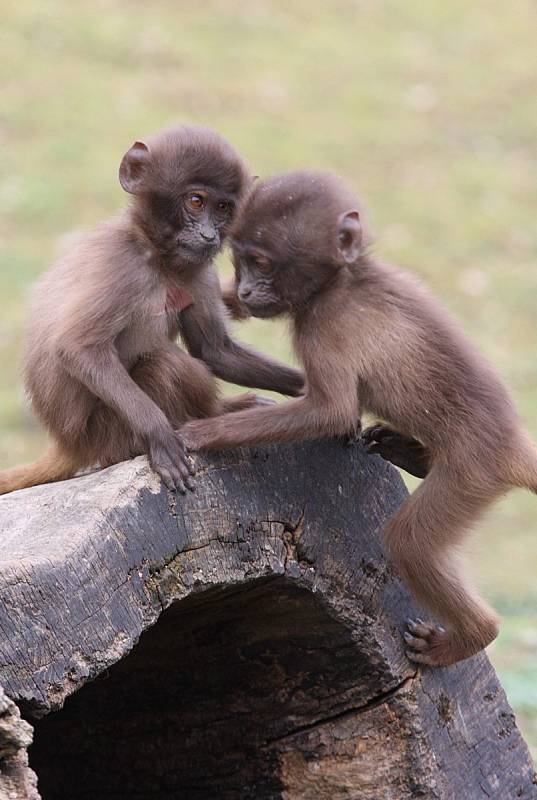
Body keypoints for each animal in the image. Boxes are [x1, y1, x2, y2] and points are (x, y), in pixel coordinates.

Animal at [180, 170, 536, 668]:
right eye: (241, 263)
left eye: (261, 262)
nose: (247, 290)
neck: (342, 280)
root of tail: (514, 444)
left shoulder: (323, 323)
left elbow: (331, 410)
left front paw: (202, 433)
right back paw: (411, 453)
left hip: (473, 472)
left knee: (410, 542)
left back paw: (472, 636)